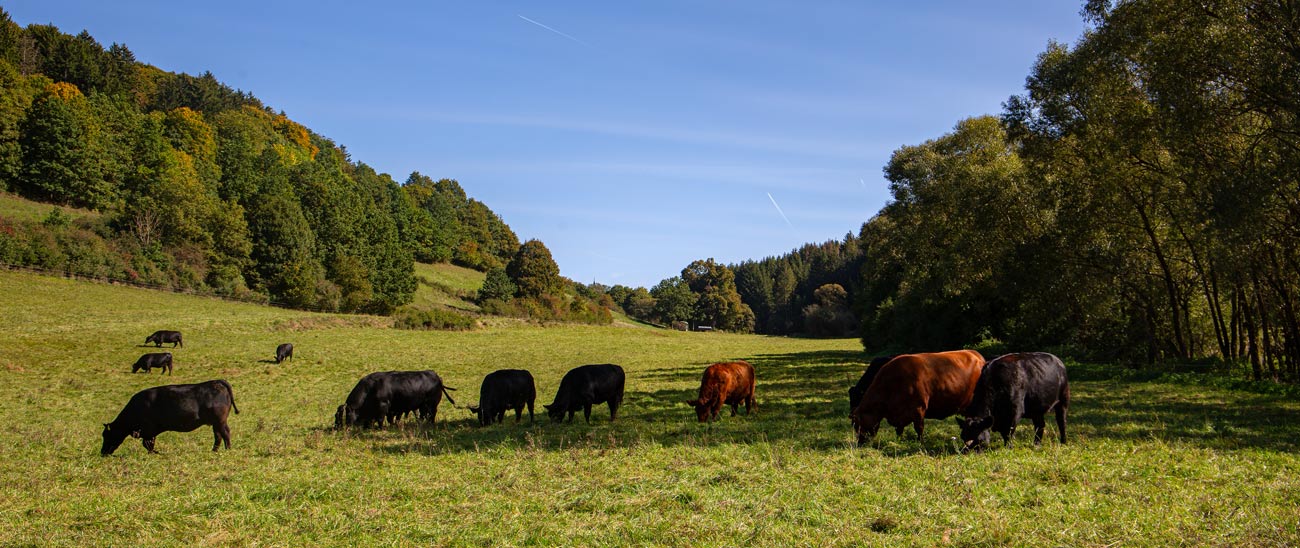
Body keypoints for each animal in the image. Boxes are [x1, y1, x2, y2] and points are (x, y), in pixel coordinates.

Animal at [98, 379, 239, 457]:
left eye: (107, 435)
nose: (102, 452)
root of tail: (216, 382)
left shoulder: (149, 431)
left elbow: (147, 445)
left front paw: (156, 453)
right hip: (216, 422)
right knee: (218, 435)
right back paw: (214, 450)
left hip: (219, 421)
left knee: (225, 433)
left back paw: (227, 449)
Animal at [847, 350, 977, 444]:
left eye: (857, 424)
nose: (859, 443)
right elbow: (899, 430)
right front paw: (898, 441)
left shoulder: (918, 409)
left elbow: (919, 428)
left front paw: (920, 443)